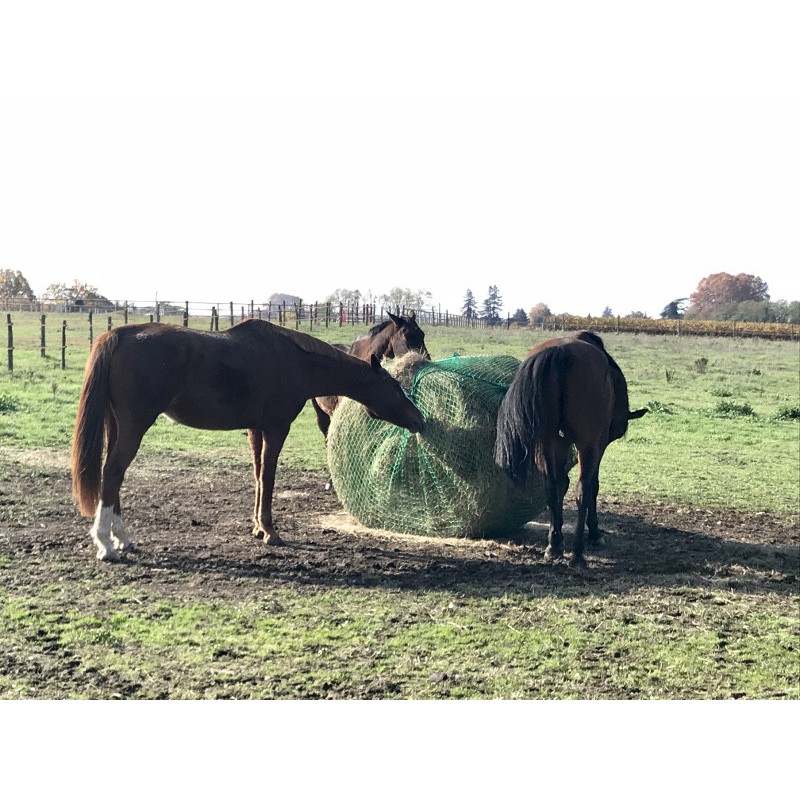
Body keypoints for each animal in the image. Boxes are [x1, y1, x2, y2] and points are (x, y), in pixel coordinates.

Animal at [71, 319, 424, 561]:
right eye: (395, 387)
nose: (418, 418)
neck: (295, 361)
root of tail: (119, 335)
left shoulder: (256, 430)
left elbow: (257, 477)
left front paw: (257, 527)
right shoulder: (276, 428)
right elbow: (268, 478)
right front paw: (270, 531)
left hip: (118, 427)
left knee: (113, 475)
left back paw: (121, 538)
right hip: (134, 426)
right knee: (112, 472)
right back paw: (106, 543)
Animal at [494, 332, 647, 568]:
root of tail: (560, 352)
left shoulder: (559, 444)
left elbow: (560, 485)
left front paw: (556, 537)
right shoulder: (598, 443)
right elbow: (592, 487)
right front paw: (594, 534)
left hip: (546, 442)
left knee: (551, 486)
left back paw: (554, 546)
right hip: (587, 443)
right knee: (582, 489)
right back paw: (577, 554)